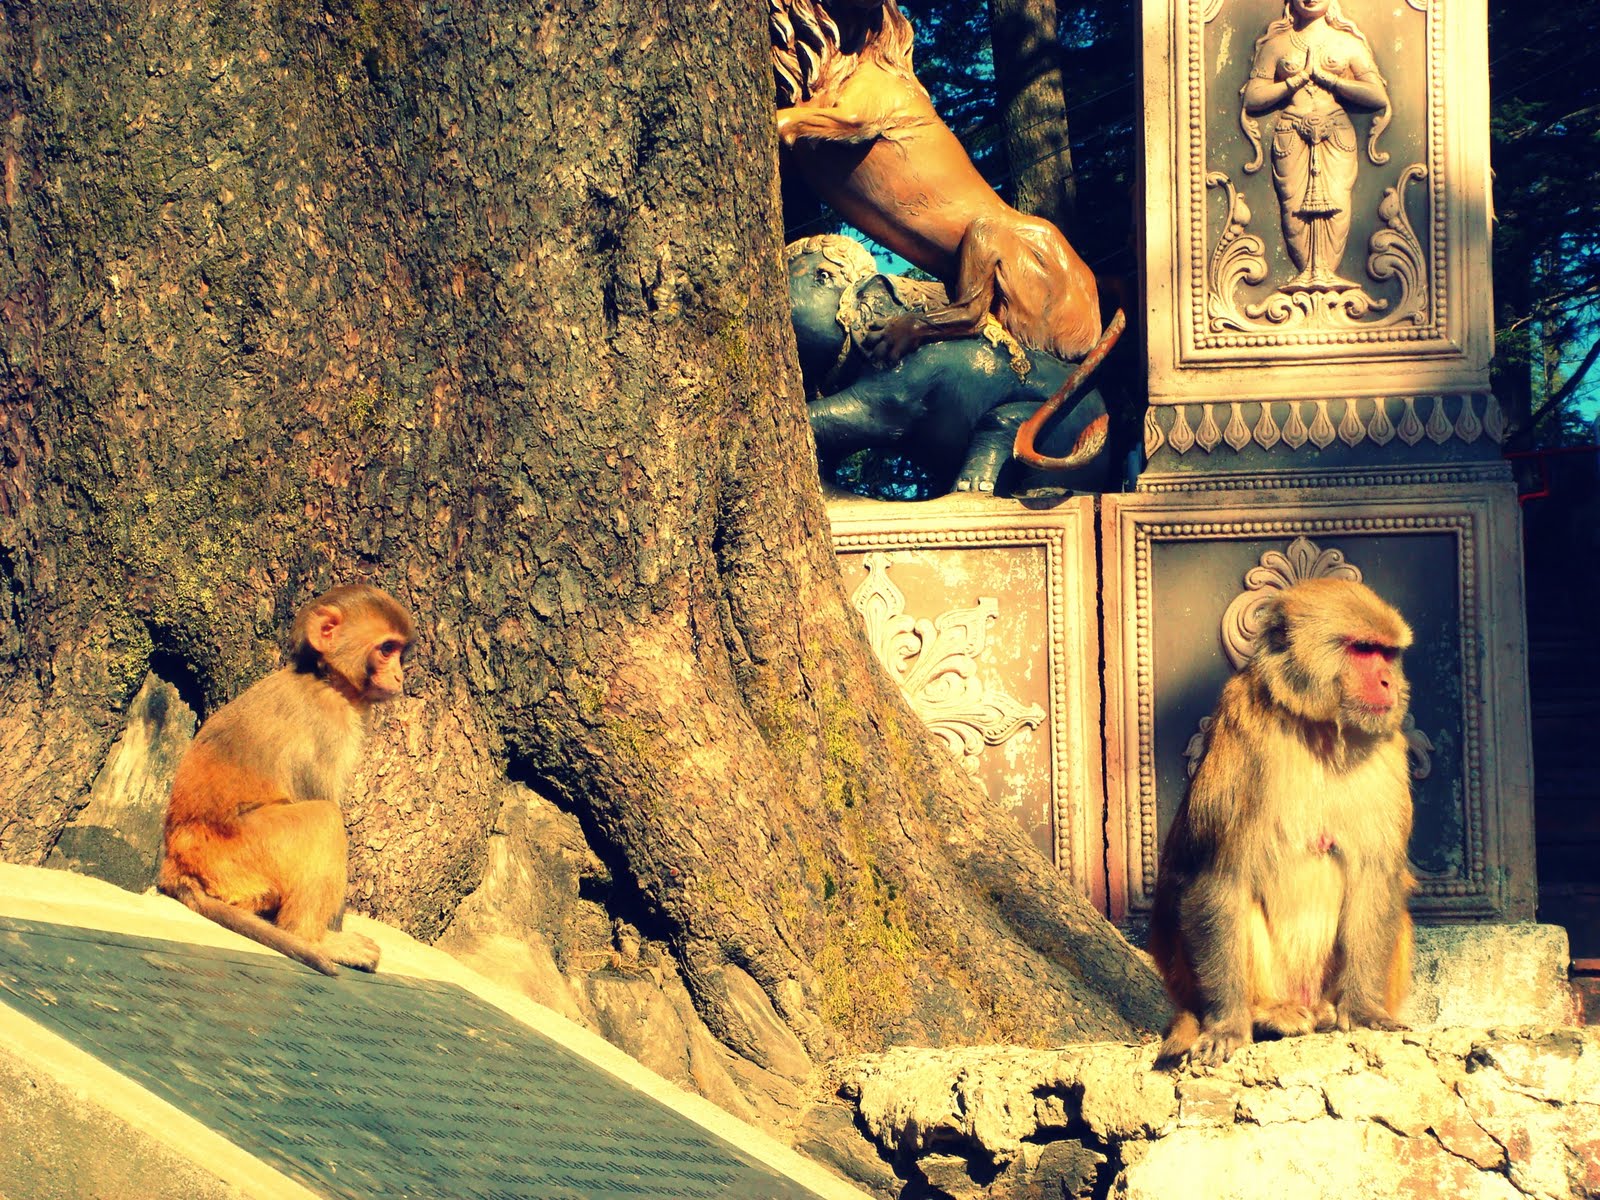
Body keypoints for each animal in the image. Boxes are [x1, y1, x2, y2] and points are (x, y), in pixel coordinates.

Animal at [159, 584, 414, 976]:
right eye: (387, 649)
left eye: (400, 652)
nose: (400, 677)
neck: (324, 679)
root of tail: (175, 861)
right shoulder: (330, 725)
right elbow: (323, 798)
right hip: (237, 854)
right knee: (323, 818)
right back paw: (314, 940)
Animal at [1148, 577, 1416, 1068]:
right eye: (1362, 649)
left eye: (1387, 654)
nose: (1389, 681)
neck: (1320, 728)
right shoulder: (1242, 733)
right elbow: (1218, 876)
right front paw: (1228, 1025)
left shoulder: (1388, 750)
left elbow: (1375, 874)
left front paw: (1365, 1011)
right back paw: (1268, 1015)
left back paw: (1329, 1013)